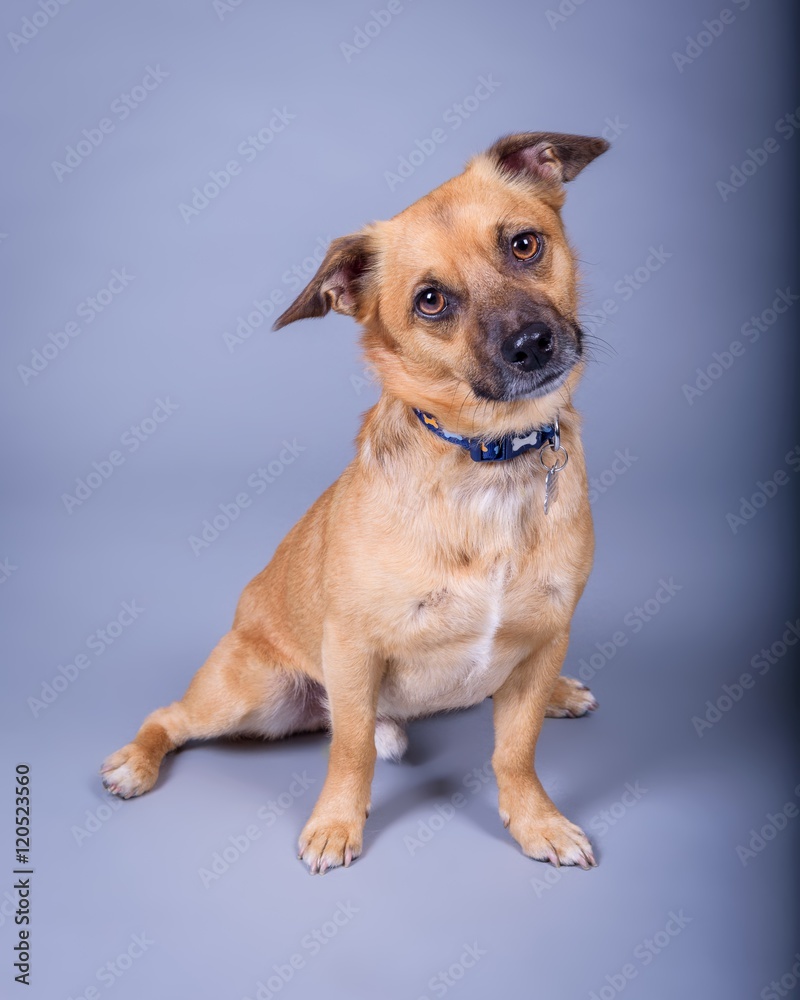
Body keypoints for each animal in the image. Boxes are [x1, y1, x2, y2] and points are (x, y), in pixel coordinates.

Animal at [103, 129, 608, 872]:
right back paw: (135, 763)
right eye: (430, 300)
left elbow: (514, 753)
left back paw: (557, 695)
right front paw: (337, 824)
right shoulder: (352, 649)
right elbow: (350, 751)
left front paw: (536, 821)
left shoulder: (549, 635)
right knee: (171, 717)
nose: (531, 344)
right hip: (249, 694)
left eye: (524, 244)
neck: (488, 458)